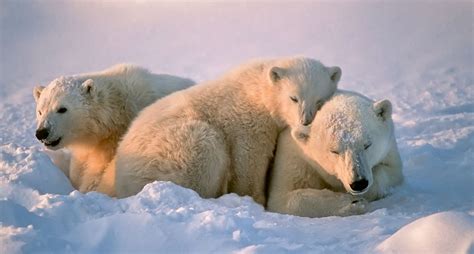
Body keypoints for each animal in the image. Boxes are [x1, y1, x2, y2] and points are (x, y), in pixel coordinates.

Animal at [116, 57, 342, 204]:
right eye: (293, 97)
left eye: (320, 101)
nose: (306, 121)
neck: (259, 91)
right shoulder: (248, 122)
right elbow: (249, 160)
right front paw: (255, 199)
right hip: (173, 151)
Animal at [266, 90, 404, 217]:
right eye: (334, 151)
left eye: (367, 145)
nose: (359, 183)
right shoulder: (296, 159)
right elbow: (282, 199)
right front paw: (353, 203)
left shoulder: (389, 150)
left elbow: (392, 173)